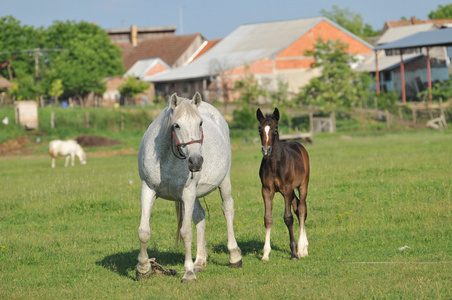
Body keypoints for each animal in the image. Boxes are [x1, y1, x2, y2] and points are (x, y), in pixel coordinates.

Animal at [137, 92, 242, 282]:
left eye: (200, 123)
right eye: (176, 125)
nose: (196, 161)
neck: (166, 158)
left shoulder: (187, 193)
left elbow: (186, 233)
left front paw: (188, 273)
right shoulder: (148, 189)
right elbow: (143, 231)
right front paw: (143, 269)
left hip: (223, 182)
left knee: (228, 209)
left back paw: (234, 256)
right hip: (195, 194)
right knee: (200, 217)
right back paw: (199, 261)